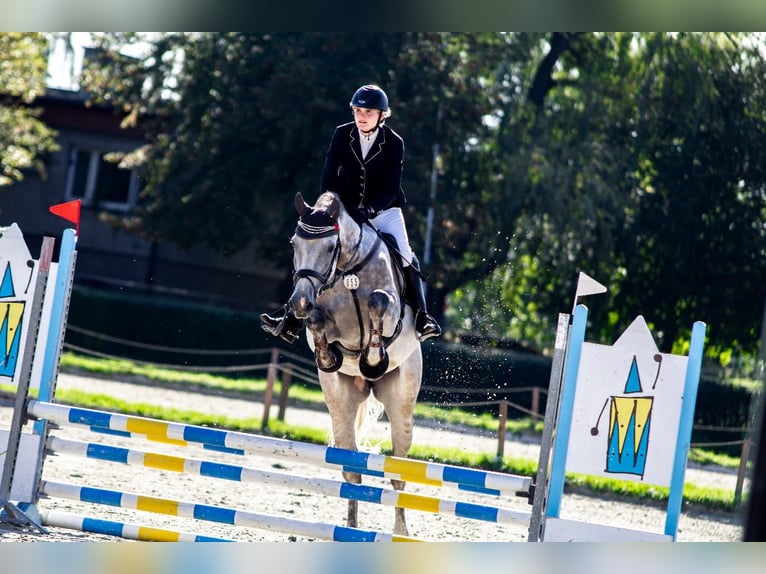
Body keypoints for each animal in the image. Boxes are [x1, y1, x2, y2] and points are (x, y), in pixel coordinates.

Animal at [287, 191, 423, 537]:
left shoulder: (392, 314)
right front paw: (326, 355)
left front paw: (373, 356)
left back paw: (401, 532)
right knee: (352, 471)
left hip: (402, 402)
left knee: (398, 473)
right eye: (294, 244)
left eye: (329, 248)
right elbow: (319, 321)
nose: (299, 302)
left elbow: (378, 300)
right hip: (340, 402)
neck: (348, 268)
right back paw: (350, 527)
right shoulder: (324, 319)